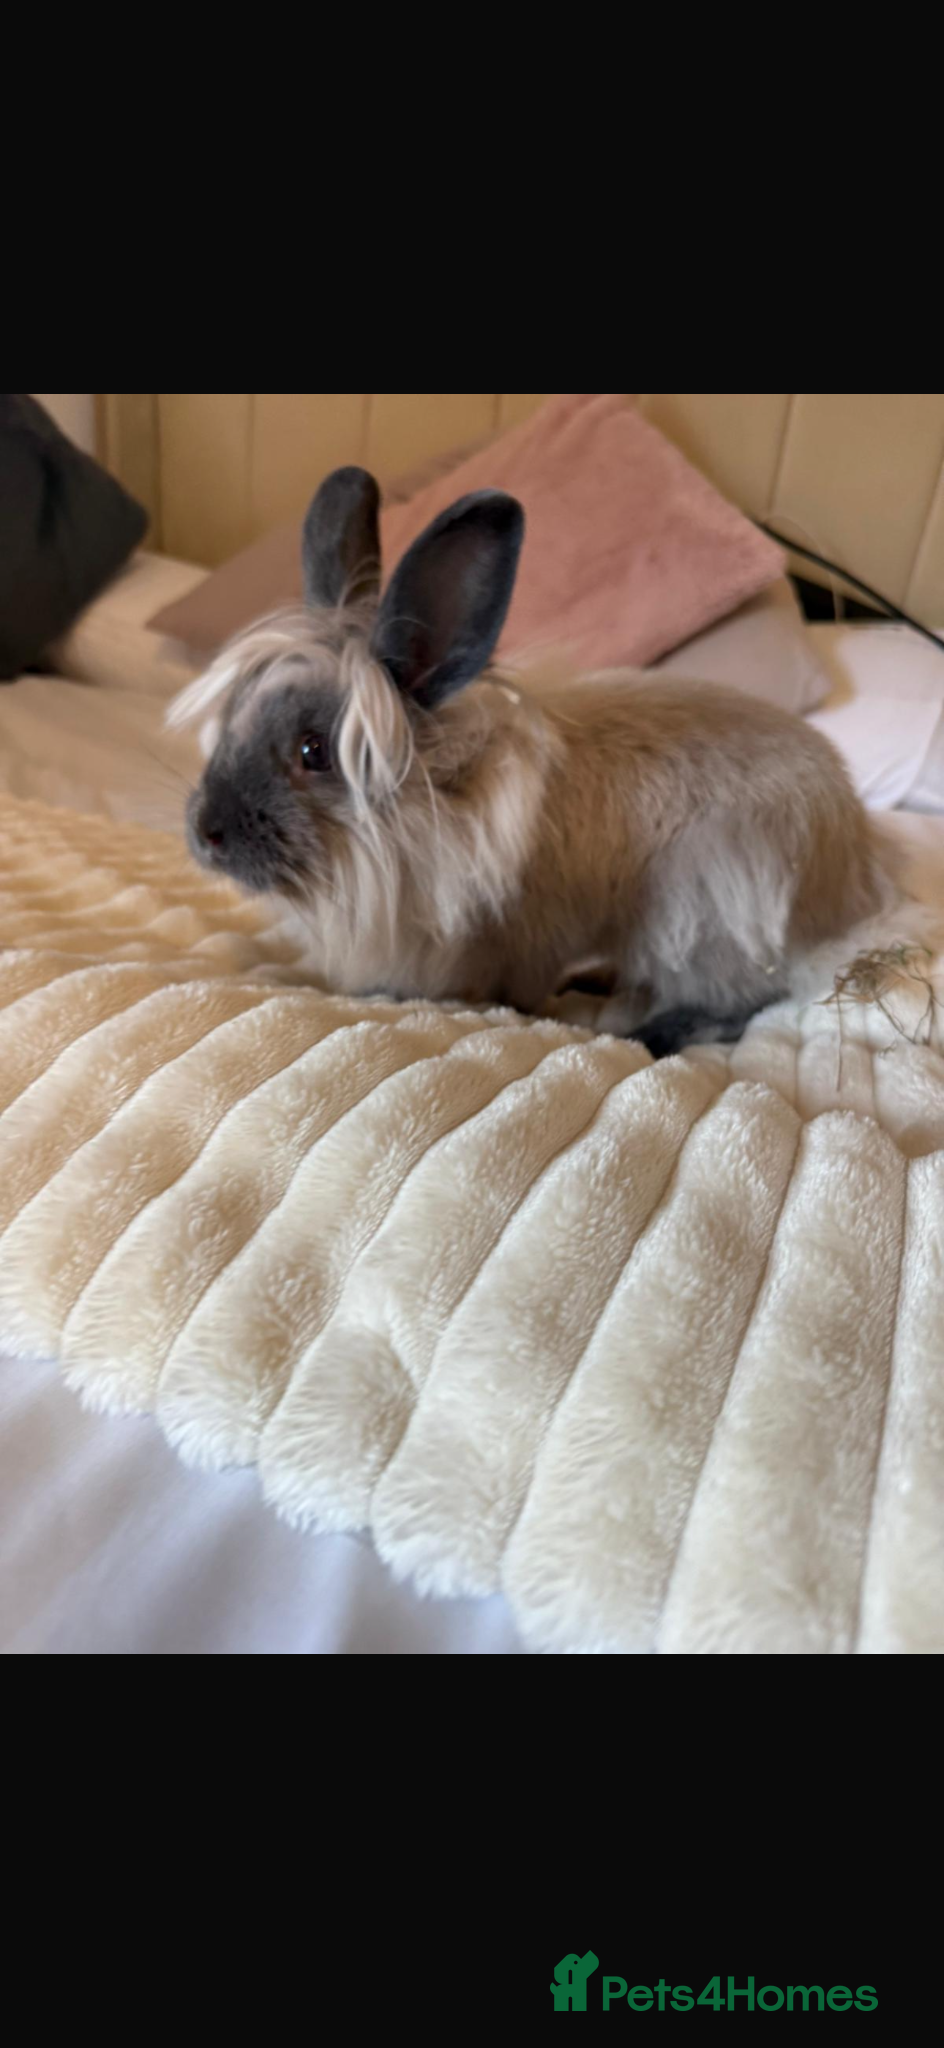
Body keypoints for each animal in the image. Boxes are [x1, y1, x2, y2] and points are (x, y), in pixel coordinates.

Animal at [169, 465, 900, 1056]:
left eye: (312, 751)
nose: (206, 833)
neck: (439, 810)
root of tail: (853, 870)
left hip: (703, 911)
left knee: (740, 1005)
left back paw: (647, 1030)